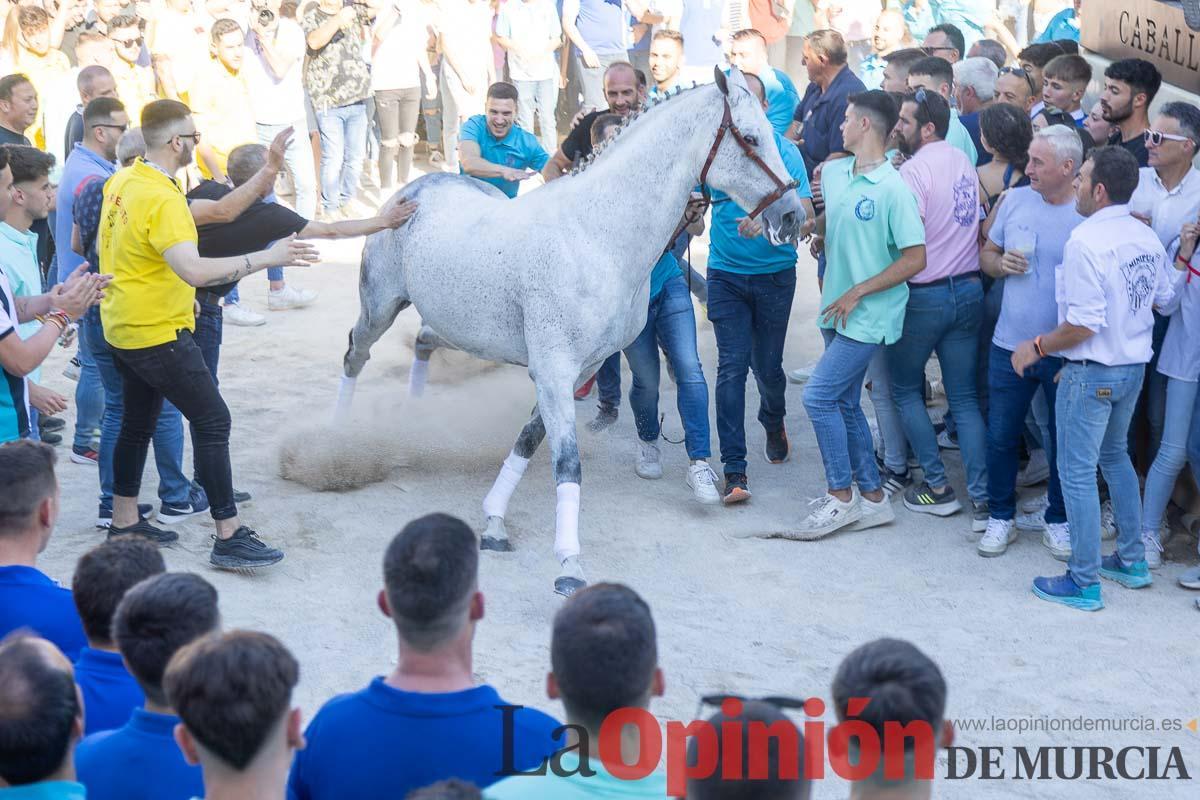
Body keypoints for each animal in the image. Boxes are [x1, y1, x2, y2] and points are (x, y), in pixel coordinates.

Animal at [336, 66, 805, 596]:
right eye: (751, 138)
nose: (792, 214)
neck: (596, 235)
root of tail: (412, 191)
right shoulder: (555, 371)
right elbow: (567, 463)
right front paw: (569, 566)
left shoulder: (580, 368)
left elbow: (527, 441)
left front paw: (494, 522)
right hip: (380, 305)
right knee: (355, 355)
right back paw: (338, 435)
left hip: (454, 324)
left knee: (422, 342)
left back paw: (414, 412)